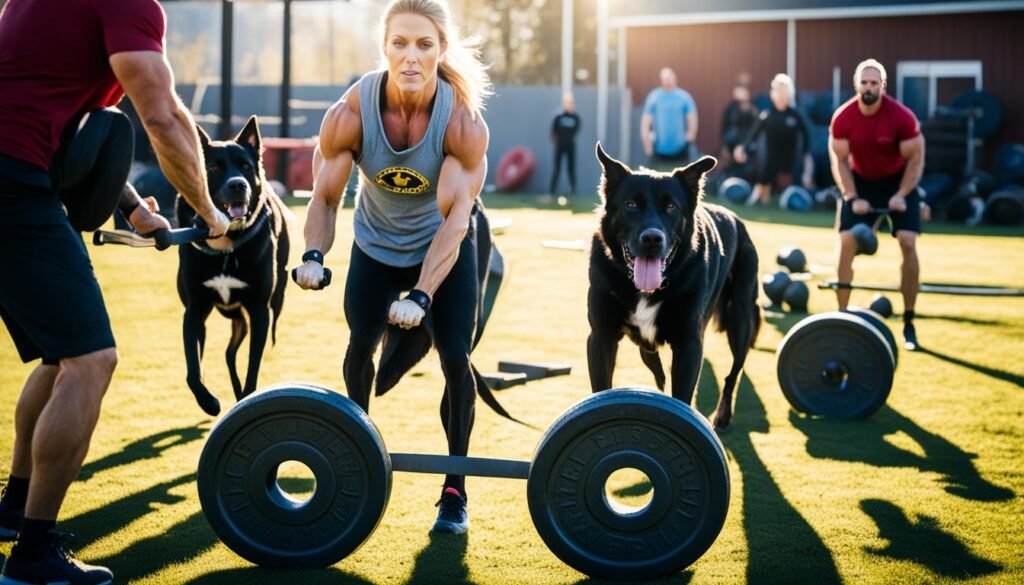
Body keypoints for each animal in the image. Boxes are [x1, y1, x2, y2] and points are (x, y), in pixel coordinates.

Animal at [175, 115, 288, 415]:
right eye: (214, 167)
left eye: (246, 167)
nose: (238, 185)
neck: (225, 243)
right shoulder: (194, 310)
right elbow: (192, 369)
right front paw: (209, 402)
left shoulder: (259, 311)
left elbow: (253, 368)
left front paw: (247, 397)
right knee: (226, 352)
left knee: (231, 352)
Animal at [585, 144, 761, 428]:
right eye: (631, 205)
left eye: (671, 207)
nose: (652, 238)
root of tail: (735, 219)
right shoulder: (601, 336)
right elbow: (601, 389)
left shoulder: (689, 344)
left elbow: (682, 398)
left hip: (741, 317)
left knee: (733, 372)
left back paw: (722, 415)